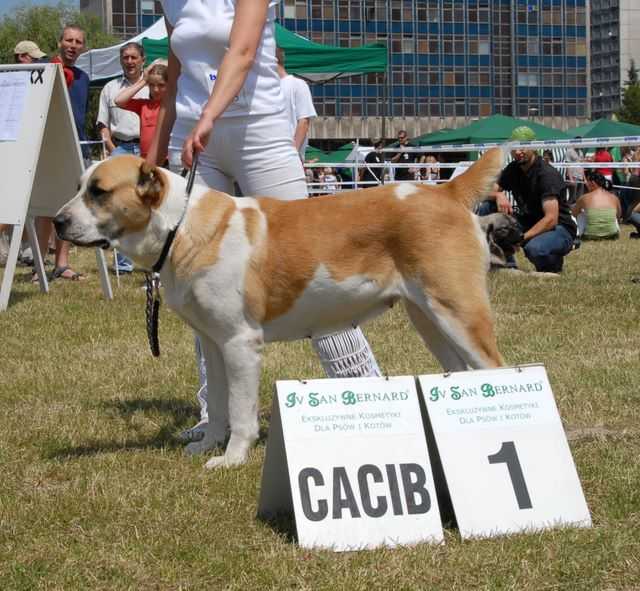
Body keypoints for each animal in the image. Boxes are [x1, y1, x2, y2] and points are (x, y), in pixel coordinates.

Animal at [55, 150, 504, 470]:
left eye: (99, 191)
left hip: (457, 311)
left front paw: (232, 458)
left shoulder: (240, 343)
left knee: (494, 370)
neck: (180, 226)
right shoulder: (214, 344)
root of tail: (445, 191)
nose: (57, 221)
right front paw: (207, 445)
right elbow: (217, 403)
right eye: (78, 186)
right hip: (428, 318)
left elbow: (239, 410)